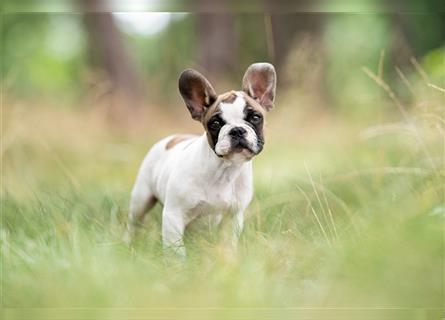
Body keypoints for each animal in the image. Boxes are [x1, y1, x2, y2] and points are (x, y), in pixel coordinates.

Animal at [126, 63, 276, 256]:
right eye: (215, 124)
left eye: (256, 118)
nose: (236, 130)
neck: (224, 170)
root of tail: (172, 138)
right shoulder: (173, 215)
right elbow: (176, 250)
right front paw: (178, 263)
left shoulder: (232, 218)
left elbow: (228, 244)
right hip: (141, 199)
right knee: (133, 223)